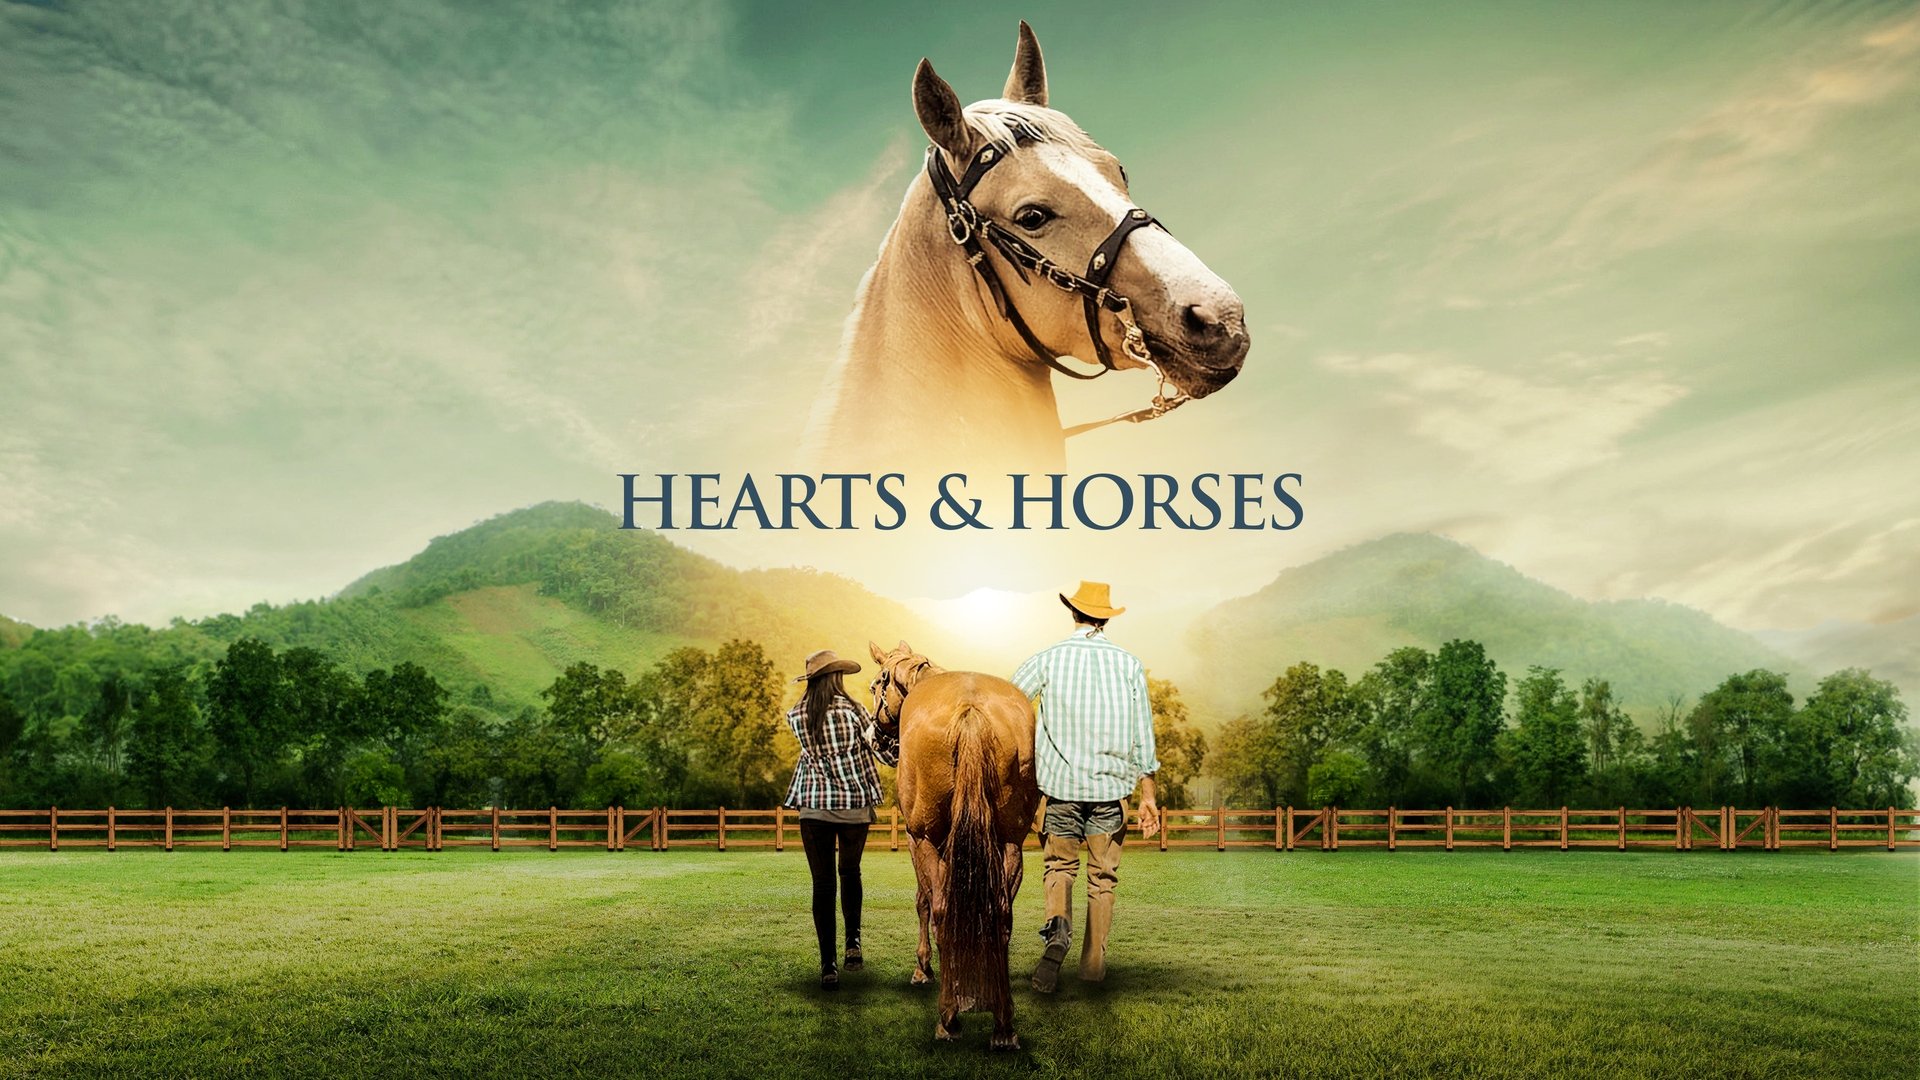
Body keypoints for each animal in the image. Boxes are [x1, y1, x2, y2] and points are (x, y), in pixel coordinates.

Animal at [868, 639, 1039, 1051]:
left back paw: (948, 1018)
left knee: (943, 910)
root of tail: (971, 709)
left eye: (875, 685)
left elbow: (924, 901)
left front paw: (923, 968)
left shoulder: (918, 838)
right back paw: (1003, 1025)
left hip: (929, 838)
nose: (872, 736)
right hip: (1010, 842)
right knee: (1001, 915)